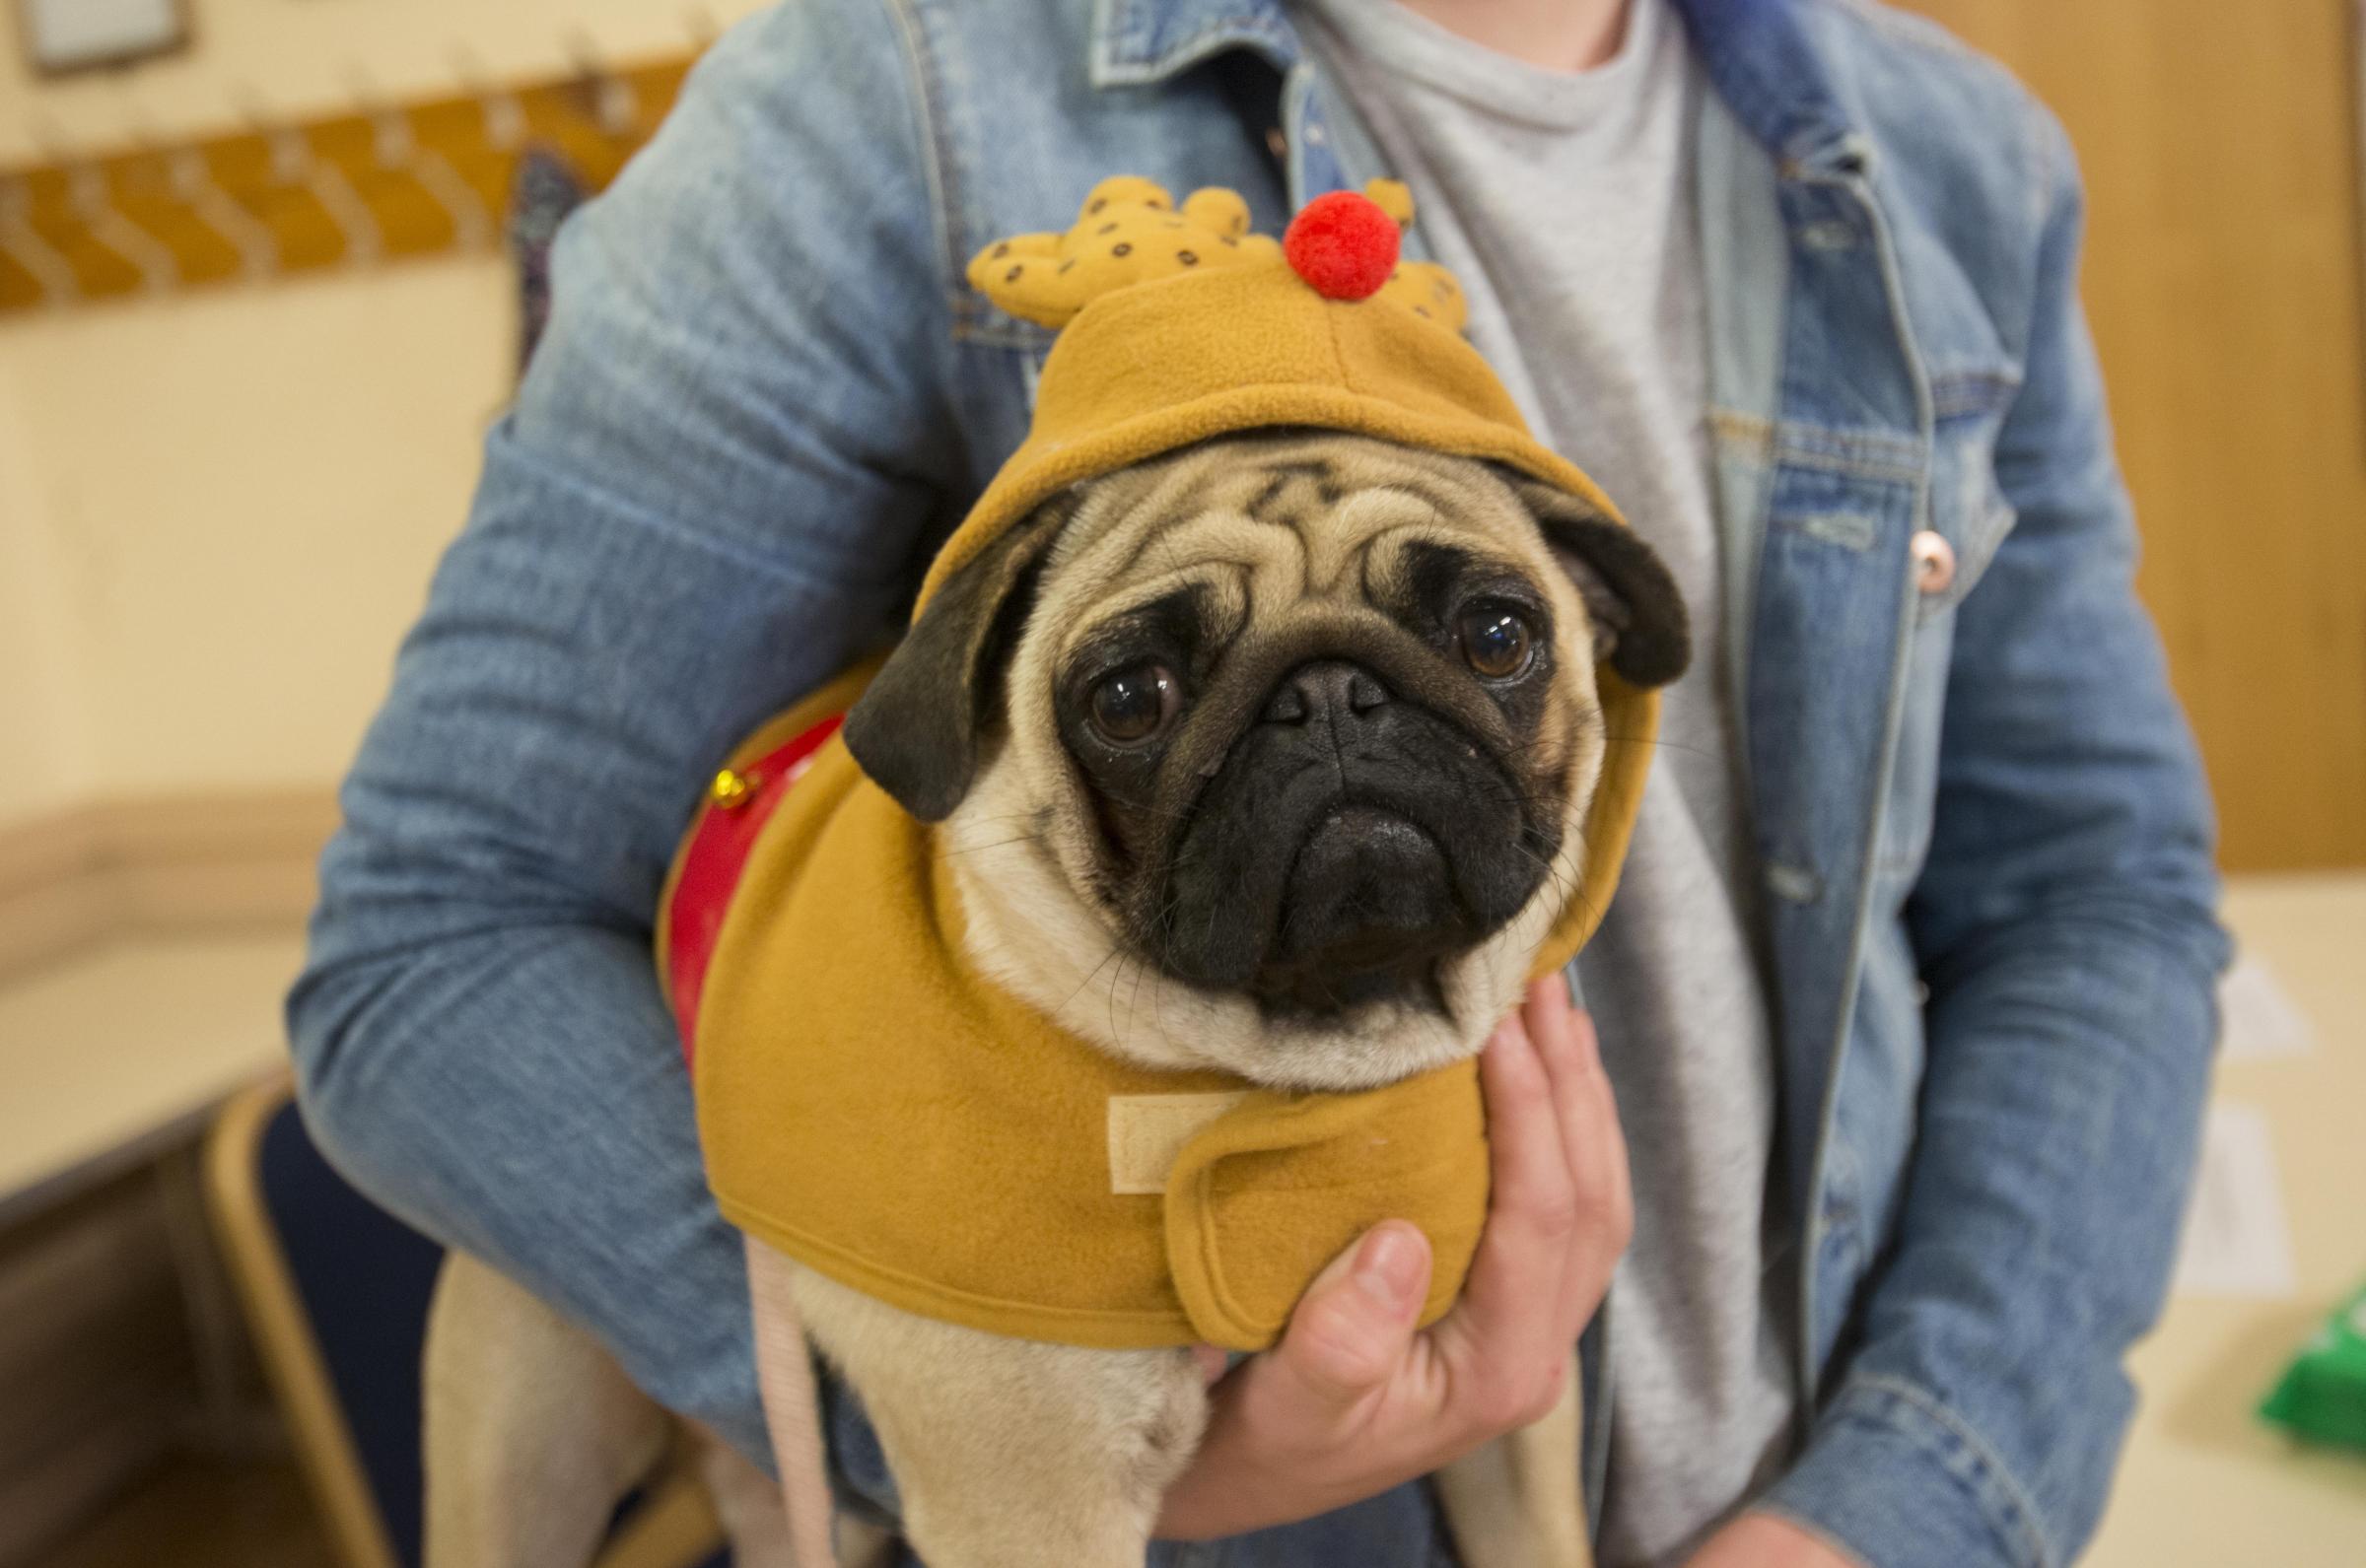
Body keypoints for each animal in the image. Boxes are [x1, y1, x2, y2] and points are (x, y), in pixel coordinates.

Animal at [426, 430, 1684, 1568]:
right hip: (529, 1436)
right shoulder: (1032, 1501)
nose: (1329, 692)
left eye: (1498, 635)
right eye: (1129, 700)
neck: (1288, 1064)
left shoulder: (1513, 1432)